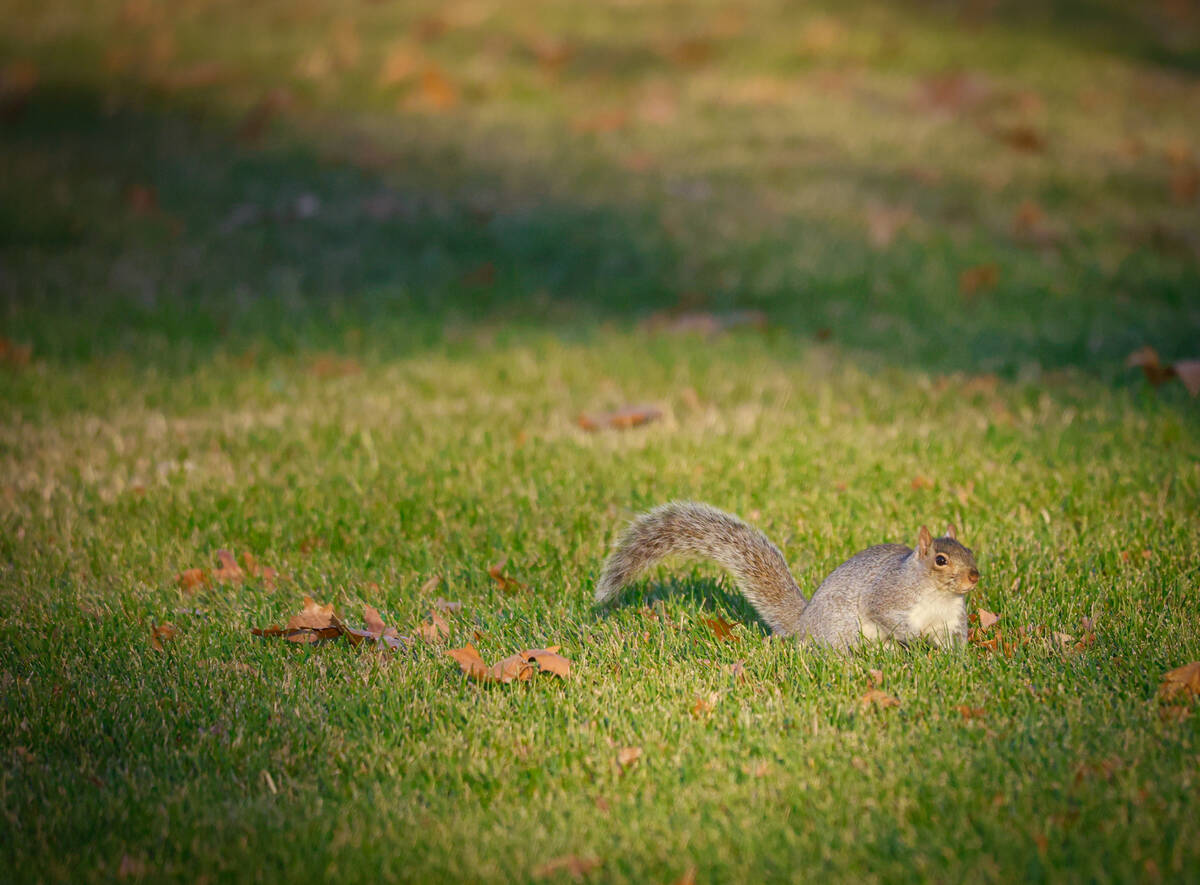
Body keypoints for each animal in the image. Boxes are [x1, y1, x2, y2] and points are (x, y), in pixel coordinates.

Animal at [595, 501, 980, 650]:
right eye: (941, 560)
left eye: (971, 551)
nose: (975, 577)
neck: (936, 596)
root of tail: (804, 623)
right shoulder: (889, 595)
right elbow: (886, 615)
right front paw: (914, 639)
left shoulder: (952, 618)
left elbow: (954, 641)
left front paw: (956, 659)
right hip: (841, 627)